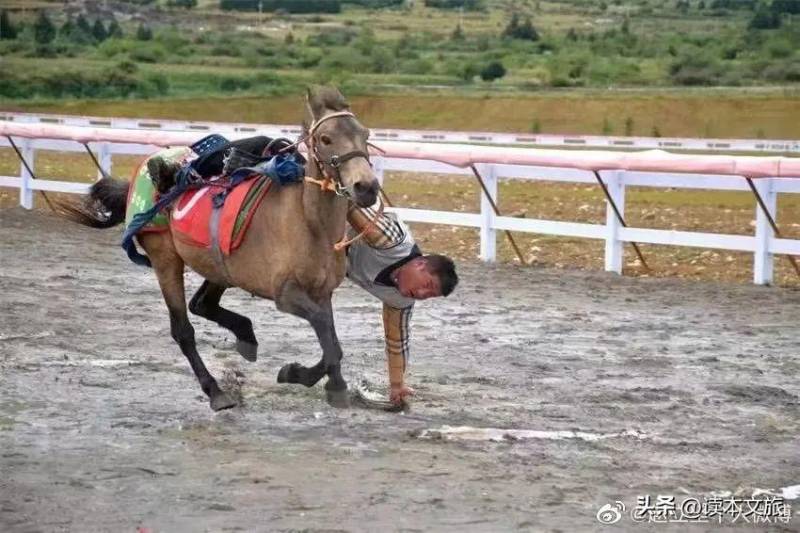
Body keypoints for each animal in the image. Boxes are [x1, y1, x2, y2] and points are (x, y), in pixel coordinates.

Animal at [59, 86, 378, 412]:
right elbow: (327, 335)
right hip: (165, 258)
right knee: (183, 329)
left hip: (220, 266)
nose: (367, 187)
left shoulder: (322, 292)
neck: (309, 224)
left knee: (201, 303)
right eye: (326, 138)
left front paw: (322, 381)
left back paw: (246, 336)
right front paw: (311, 377)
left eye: (365, 134)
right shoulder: (286, 294)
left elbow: (331, 340)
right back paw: (216, 391)